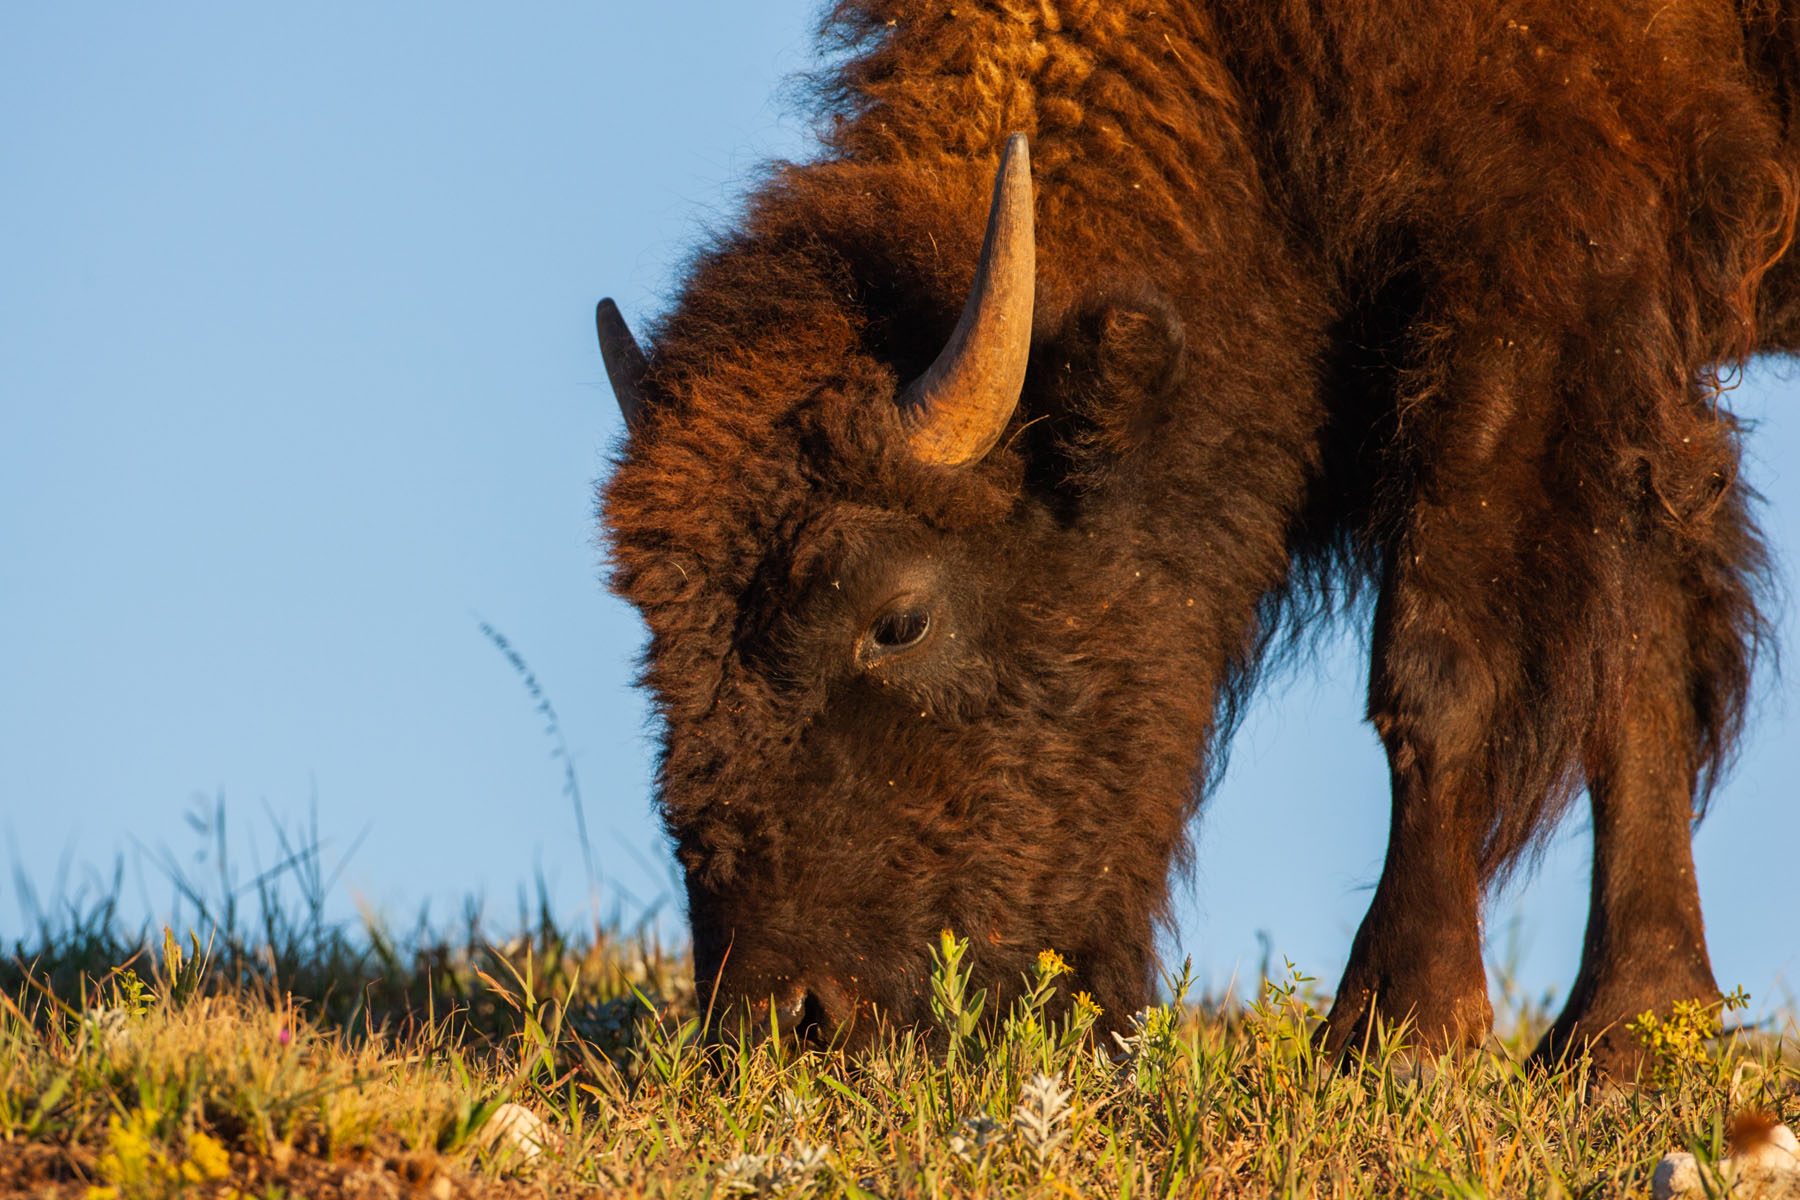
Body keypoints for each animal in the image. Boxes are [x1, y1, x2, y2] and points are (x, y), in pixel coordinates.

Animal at [597, 0, 1799, 1073]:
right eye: (655, 636)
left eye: (899, 619)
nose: (781, 1023)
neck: (1238, 77)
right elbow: (1638, 668)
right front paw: (1631, 1036)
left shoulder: (1538, 288)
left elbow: (1445, 670)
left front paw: (1396, 1031)